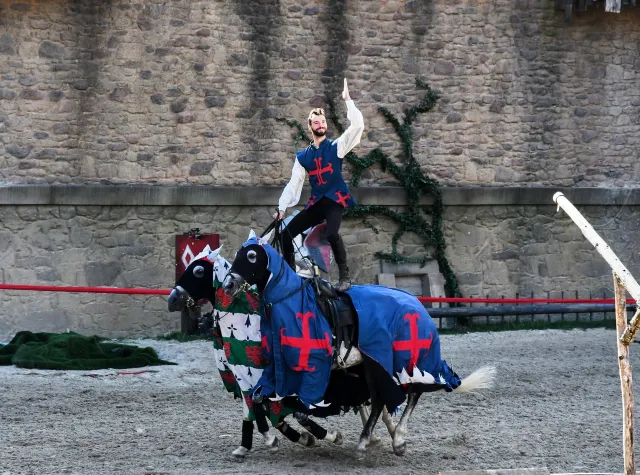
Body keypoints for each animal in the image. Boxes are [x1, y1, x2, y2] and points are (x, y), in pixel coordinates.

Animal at [165, 245, 344, 458]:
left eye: (198, 270)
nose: (172, 299)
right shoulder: (242, 372)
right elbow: (252, 405)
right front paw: (249, 443)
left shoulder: (268, 373)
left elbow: (274, 406)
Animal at [222, 232, 498, 456]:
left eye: (251, 255)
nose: (228, 284)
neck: (291, 302)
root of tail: (417, 304)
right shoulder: (282, 373)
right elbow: (260, 399)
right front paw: (277, 440)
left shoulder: (314, 373)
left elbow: (300, 411)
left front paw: (329, 436)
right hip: (373, 367)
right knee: (379, 401)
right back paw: (369, 440)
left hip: (404, 362)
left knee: (412, 393)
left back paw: (396, 439)